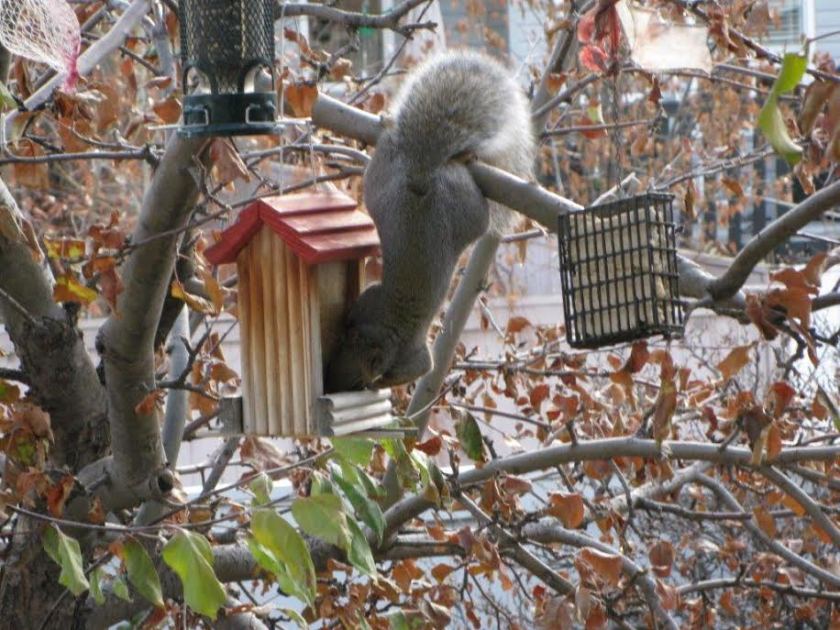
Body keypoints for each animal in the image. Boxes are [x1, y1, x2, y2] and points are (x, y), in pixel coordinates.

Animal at [325, 51, 535, 392]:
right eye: (340, 347)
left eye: (357, 381)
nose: (330, 384)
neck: (387, 328)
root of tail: (422, 170)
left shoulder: (407, 351)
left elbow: (420, 368)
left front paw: (384, 384)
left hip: (443, 198)